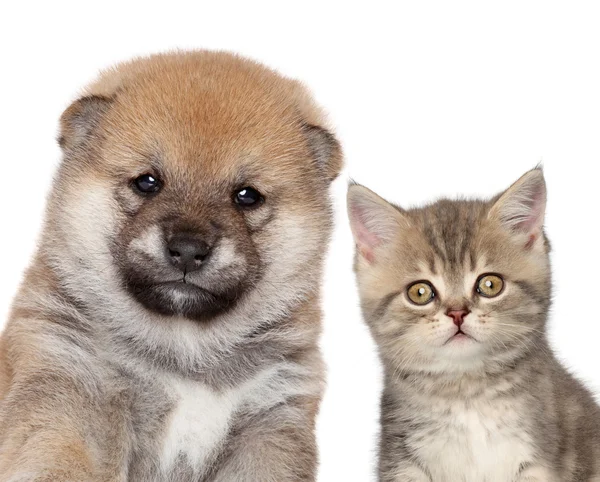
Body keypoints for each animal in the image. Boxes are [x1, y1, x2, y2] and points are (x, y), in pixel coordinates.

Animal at [0, 51, 342, 482]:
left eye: (247, 196)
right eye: (148, 182)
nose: (188, 250)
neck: (184, 354)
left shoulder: (269, 421)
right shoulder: (71, 383)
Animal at [346, 168, 600, 480]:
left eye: (490, 284)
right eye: (420, 292)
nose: (457, 313)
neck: (465, 395)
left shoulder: (541, 457)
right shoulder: (401, 461)